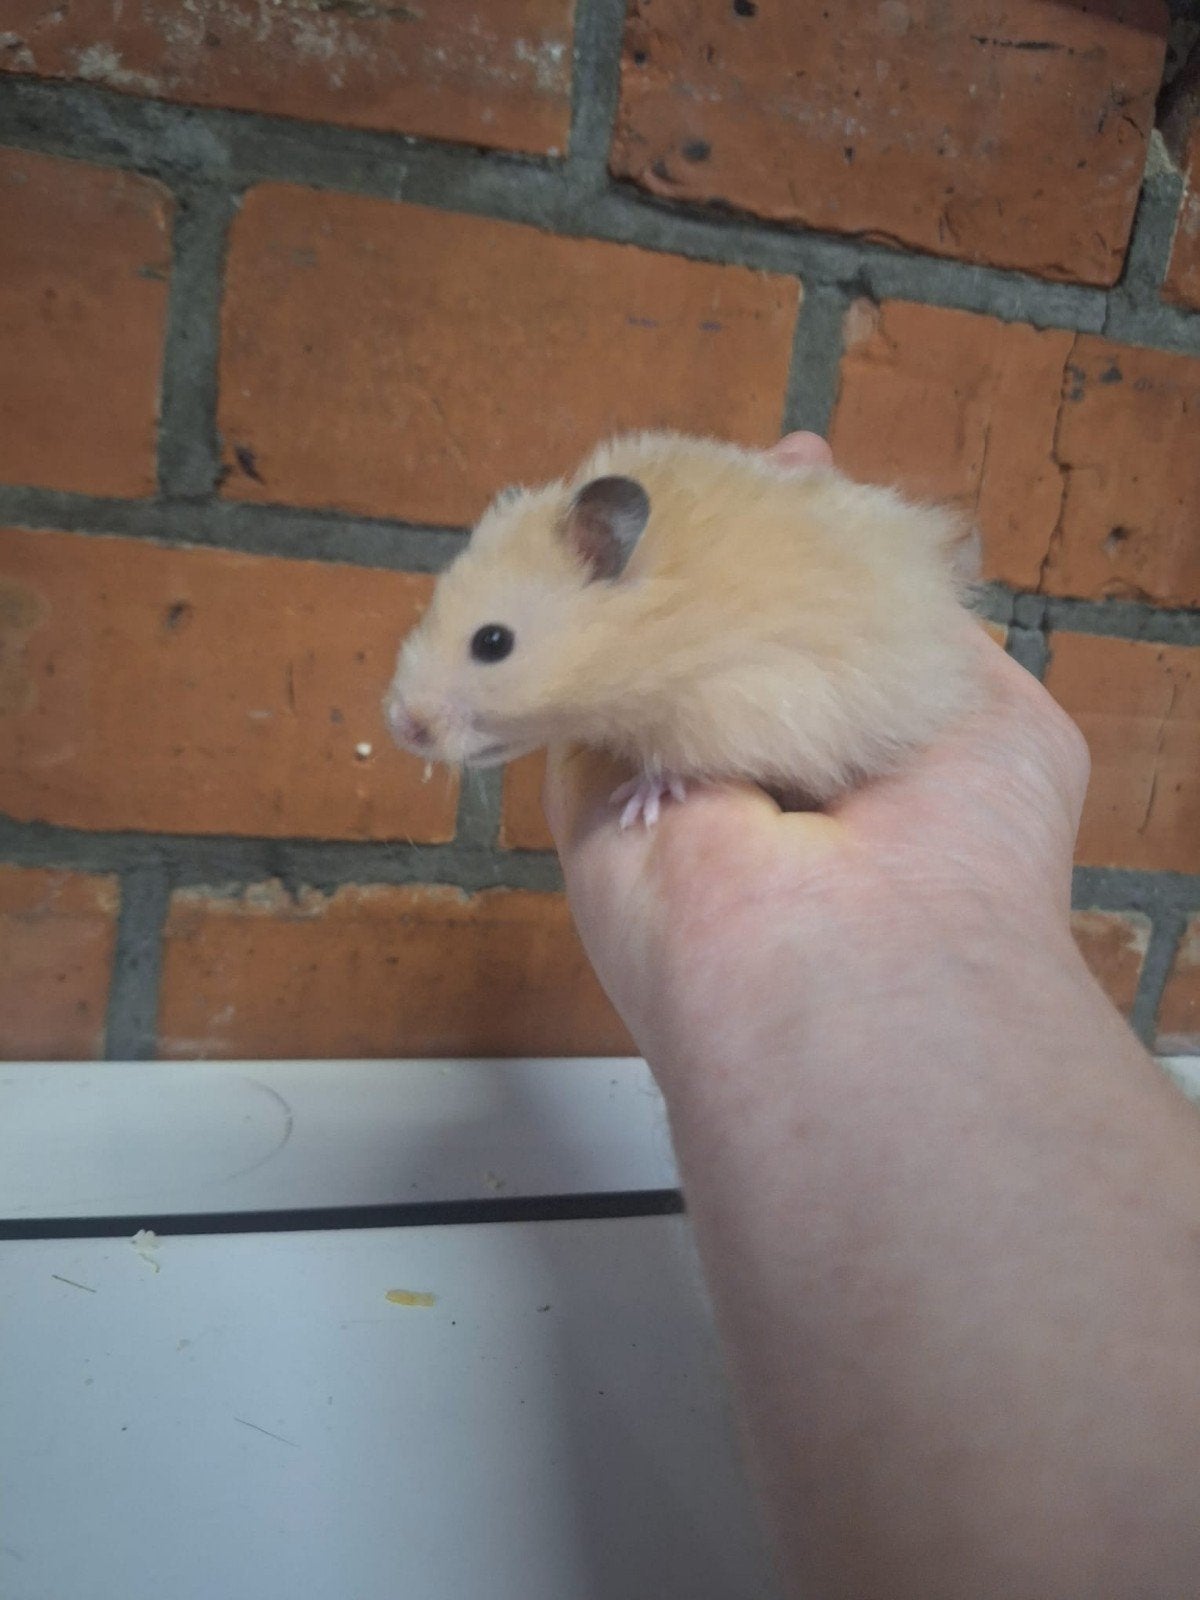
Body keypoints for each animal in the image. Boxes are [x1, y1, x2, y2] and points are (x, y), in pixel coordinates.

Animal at [383, 431, 983, 827]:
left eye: (493, 642)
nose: (400, 726)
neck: (661, 623)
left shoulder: (743, 702)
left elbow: (679, 762)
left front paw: (636, 806)